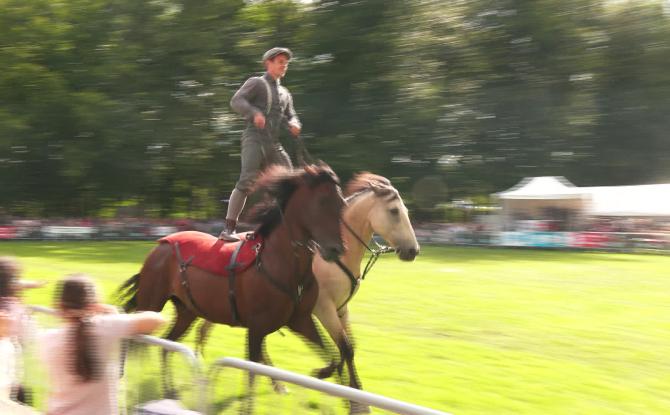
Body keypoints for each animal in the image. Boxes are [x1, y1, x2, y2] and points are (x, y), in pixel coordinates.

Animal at [118, 164, 346, 414]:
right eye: (322, 202)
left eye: (341, 203)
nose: (337, 249)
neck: (280, 263)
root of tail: (160, 245)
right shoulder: (256, 329)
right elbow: (252, 373)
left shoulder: (301, 320)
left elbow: (334, 354)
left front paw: (322, 373)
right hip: (151, 303)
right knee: (137, 341)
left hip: (187, 312)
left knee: (166, 345)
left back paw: (169, 391)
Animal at [197, 173, 422, 415]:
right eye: (394, 211)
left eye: (405, 210)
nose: (413, 250)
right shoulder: (324, 309)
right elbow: (343, 348)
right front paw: (342, 392)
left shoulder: (342, 310)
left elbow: (348, 348)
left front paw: (357, 398)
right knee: (205, 331)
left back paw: (277, 384)